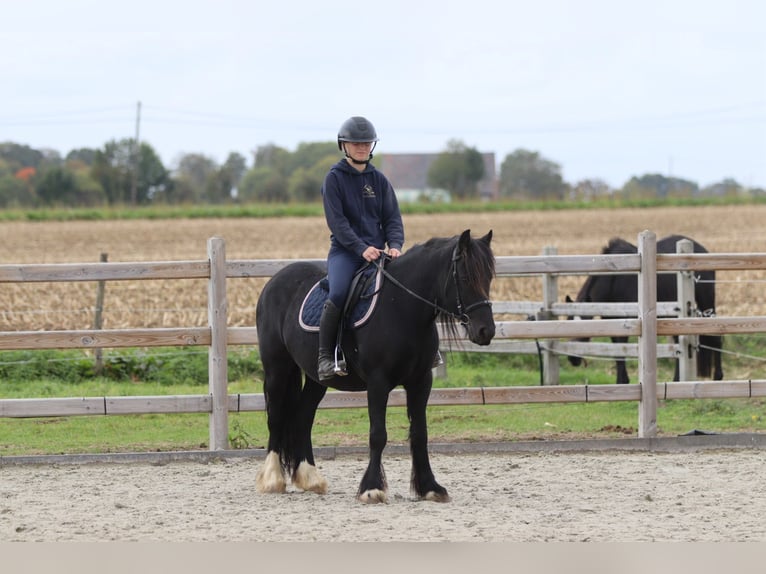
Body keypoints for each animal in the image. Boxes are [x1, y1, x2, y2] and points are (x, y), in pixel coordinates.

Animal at [254, 229, 496, 503]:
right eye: (465, 277)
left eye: (488, 277)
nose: (486, 331)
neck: (401, 306)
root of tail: (275, 281)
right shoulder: (378, 382)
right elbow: (378, 434)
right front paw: (372, 488)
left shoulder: (421, 381)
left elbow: (420, 434)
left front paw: (430, 487)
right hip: (277, 368)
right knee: (275, 417)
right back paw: (272, 479)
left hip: (317, 379)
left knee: (303, 417)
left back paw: (311, 478)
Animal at [566, 234, 723, 385]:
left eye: (584, 325)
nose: (572, 359)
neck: (615, 279)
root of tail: (703, 250)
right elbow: (617, 352)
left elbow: (622, 349)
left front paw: (622, 381)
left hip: (706, 301)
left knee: (715, 337)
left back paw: (717, 377)